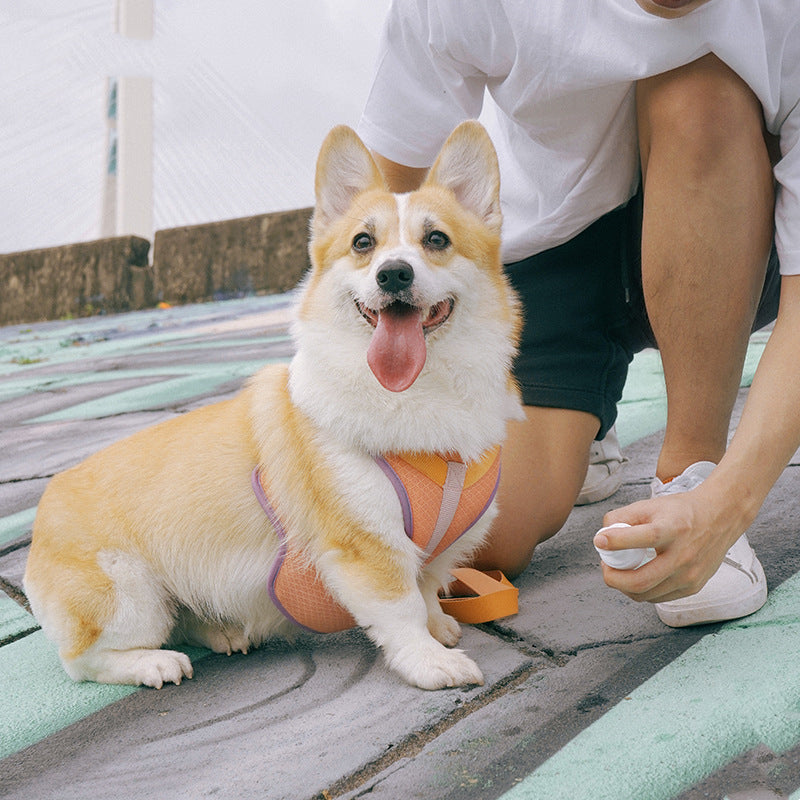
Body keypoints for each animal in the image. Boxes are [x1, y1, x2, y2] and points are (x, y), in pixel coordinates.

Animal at [21, 122, 520, 692]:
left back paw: (223, 631)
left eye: (436, 239)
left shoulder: (438, 550)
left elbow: (429, 586)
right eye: (363, 243)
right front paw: (430, 661)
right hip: (130, 598)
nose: (393, 274)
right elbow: (403, 609)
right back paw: (153, 663)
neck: (420, 393)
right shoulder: (366, 546)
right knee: (83, 659)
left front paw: (441, 627)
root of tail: (43, 511)